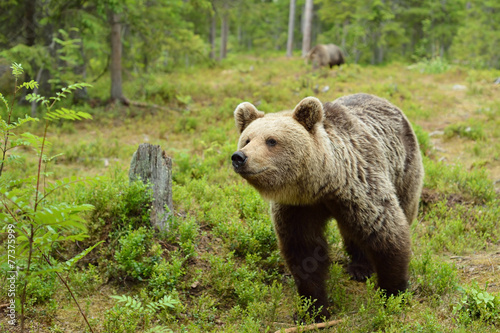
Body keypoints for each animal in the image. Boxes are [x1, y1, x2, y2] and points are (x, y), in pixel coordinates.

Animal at [230, 92, 422, 318]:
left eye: (271, 140)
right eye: (247, 139)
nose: (239, 157)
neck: (321, 186)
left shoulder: (360, 186)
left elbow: (386, 232)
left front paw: (393, 293)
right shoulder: (298, 208)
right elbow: (304, 252)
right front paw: (314, 308)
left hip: (404, 169)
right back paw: (360, 266)